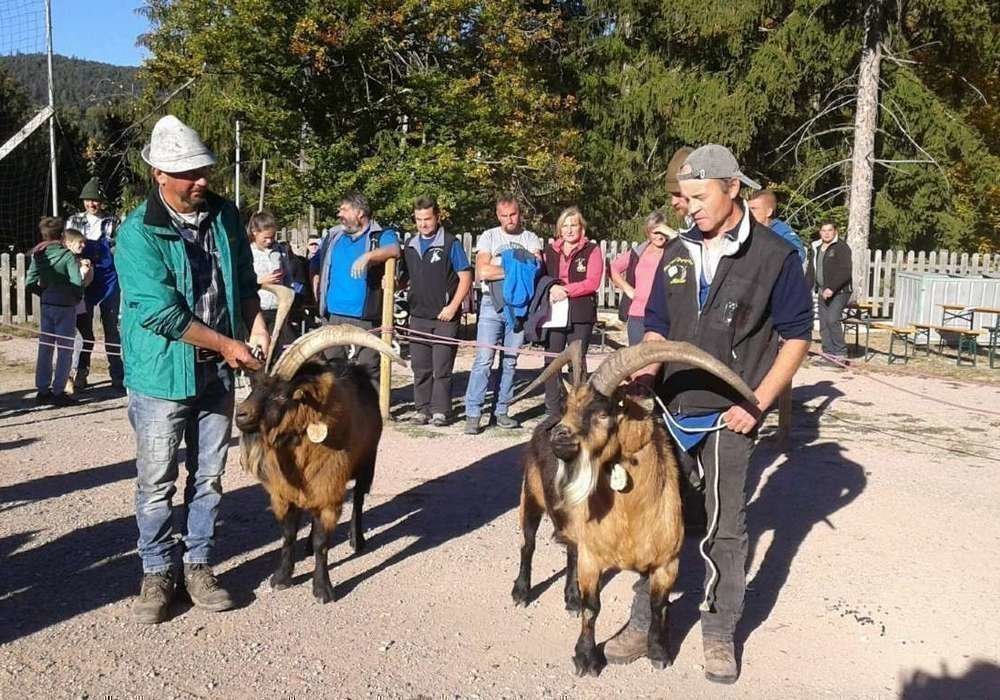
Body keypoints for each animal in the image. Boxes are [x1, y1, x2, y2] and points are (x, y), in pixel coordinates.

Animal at [234, 292, 402, 604]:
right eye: (254, 384)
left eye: (281, 395)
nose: (241, 415)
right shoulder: (285, 492)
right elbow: (288, 534)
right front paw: (282, 577)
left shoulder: (330, 490)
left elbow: (325, 541)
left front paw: (323, 588)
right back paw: (308, 545)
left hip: (367, 461)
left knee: (358, 499)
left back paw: (356, 540)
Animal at [508, 342, 752, 676]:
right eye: (569, 407)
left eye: (602, 413)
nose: (558, 436)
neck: (631, 521)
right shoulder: (593, 558)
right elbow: (593, 608)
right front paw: (586, 659)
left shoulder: (666, 563)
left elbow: (658, 606)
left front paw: (659, 653)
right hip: (530, 495)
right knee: (527, 544)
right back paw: (521, 593)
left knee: (569, 550)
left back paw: (570, 599)